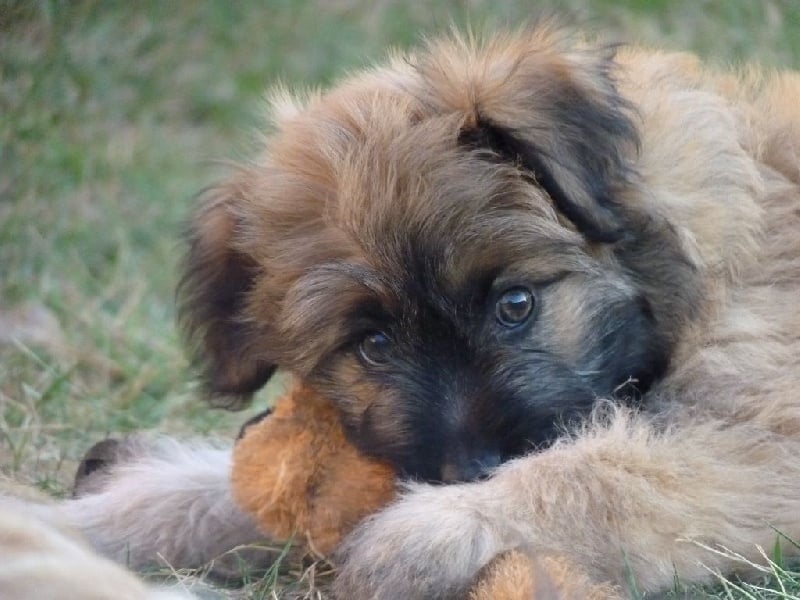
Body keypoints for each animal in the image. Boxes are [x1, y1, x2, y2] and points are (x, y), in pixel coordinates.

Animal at [178, 24, 800, 600]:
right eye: (373, 345)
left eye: (515, 304)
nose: (471, 470)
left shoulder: (762, 433)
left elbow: (605, 476)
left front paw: (430, 530)